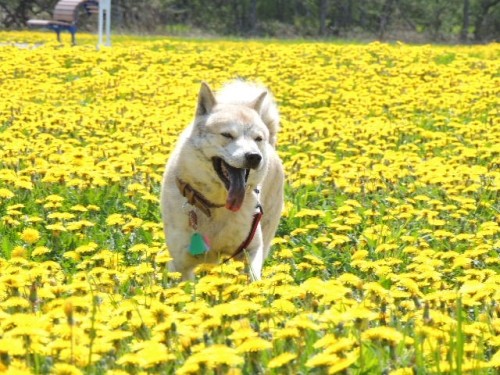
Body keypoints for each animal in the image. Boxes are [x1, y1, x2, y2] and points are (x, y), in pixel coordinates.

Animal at [162, 81, 284, 280]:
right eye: (227, 135)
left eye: (258, 138)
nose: (254, 156)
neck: (216, 204)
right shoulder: (181, 264)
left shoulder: (251, 247)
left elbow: (254, 277)